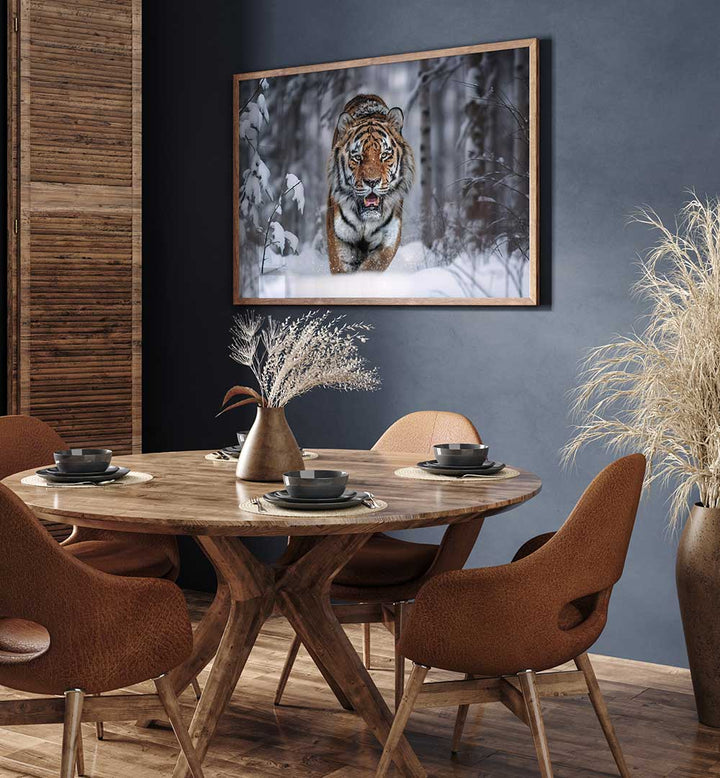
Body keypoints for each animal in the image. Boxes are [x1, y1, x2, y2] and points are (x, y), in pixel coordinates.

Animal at [326, 94, 415, 274]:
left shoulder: (389, 238)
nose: (372, 181)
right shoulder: (339, 237)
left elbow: (372, 267)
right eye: (357, 157)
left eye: (385, 155)